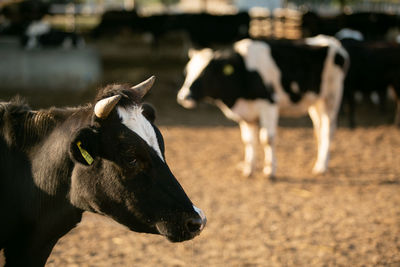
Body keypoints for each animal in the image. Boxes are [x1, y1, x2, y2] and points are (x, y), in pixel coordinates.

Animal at [178, 35, 350, 178]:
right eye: (187, 72)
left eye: (206, 73)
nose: (183, 96)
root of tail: (331, 41)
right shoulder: (247, 113)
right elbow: (248, 141)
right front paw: (249, 169)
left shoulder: (269, 104)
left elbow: (267, 139)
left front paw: (269, 171)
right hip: (315, 102)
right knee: (319, 129)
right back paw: (320, 161)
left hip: (332, 97)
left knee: (328, 130)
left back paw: (322, 166)